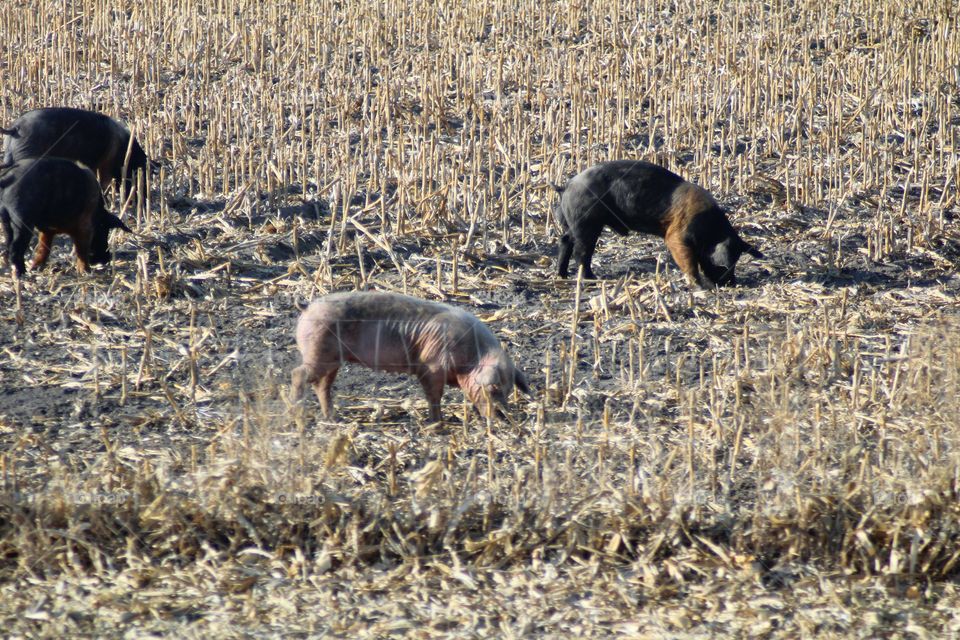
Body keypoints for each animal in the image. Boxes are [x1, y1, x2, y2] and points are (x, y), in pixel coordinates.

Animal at [0, 157, 131, 277]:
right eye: (104, 230)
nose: (105, 260)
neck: (97, 213)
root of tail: (8, 177)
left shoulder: (47, 232)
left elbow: (43, 249)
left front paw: (36, 267)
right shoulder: (85, 228)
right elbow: (81, 250)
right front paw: (85, 271)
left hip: (7, 223)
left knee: (8, 245)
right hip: (22, 223)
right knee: (15, 249)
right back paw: (20, 273)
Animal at [291, 291, 531, 422]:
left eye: (508, 390)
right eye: (492, 388)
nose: (504, 417)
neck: (473, 357)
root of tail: (308, 306)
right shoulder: (431, 365)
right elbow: (434, 395)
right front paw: (437, 424)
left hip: (332, 359)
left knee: (322, 385)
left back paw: (332, 417)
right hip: (318, 351)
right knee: (298, 374)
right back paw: (296, 412)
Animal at [554, 160, 764, 288]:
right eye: (727, 263)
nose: (732, 283)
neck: (710, 230)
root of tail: (567, 186)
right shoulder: (676, 237)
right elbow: (688, 261)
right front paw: (698, 285)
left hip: (573, 225)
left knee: (565, 241)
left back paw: (562, 275)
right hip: (586, 224)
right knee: (581, 252)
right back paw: (591, 279)